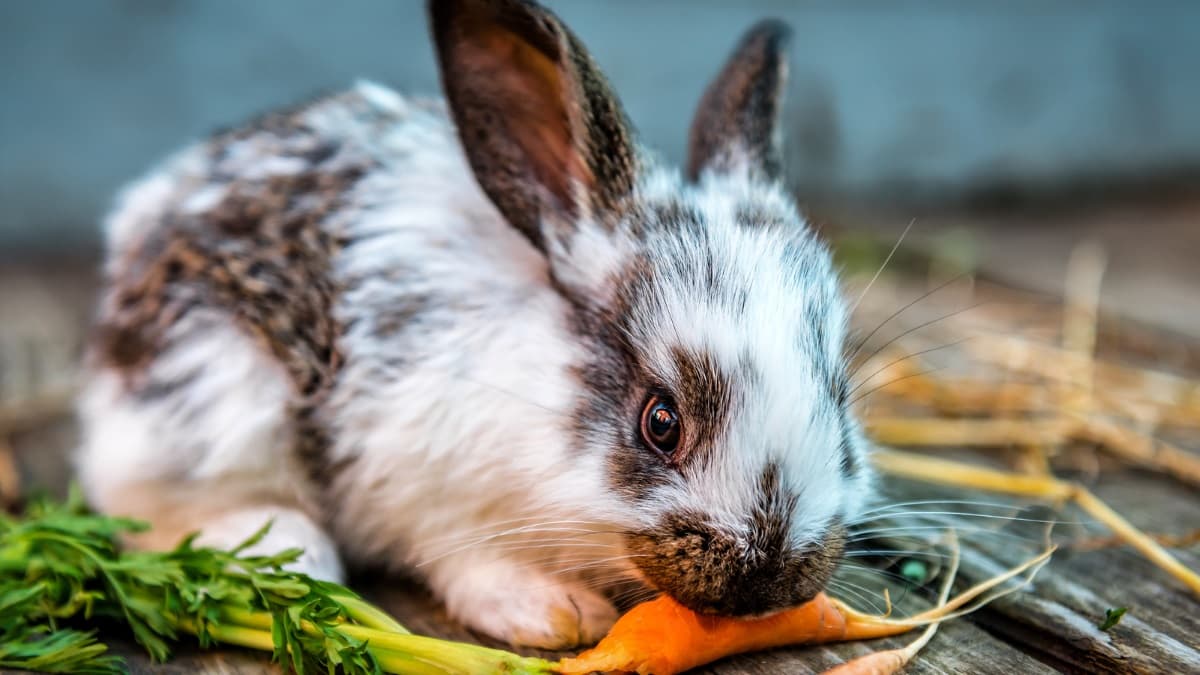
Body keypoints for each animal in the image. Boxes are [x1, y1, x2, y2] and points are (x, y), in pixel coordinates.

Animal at [76, 0, 874, 650]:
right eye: (660, 422)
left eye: (840, 405)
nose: (767, 577)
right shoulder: (422, 485)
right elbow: (470, 560)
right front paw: (557, 612)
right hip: (218, 394)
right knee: (147, 507)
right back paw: (285, 550)